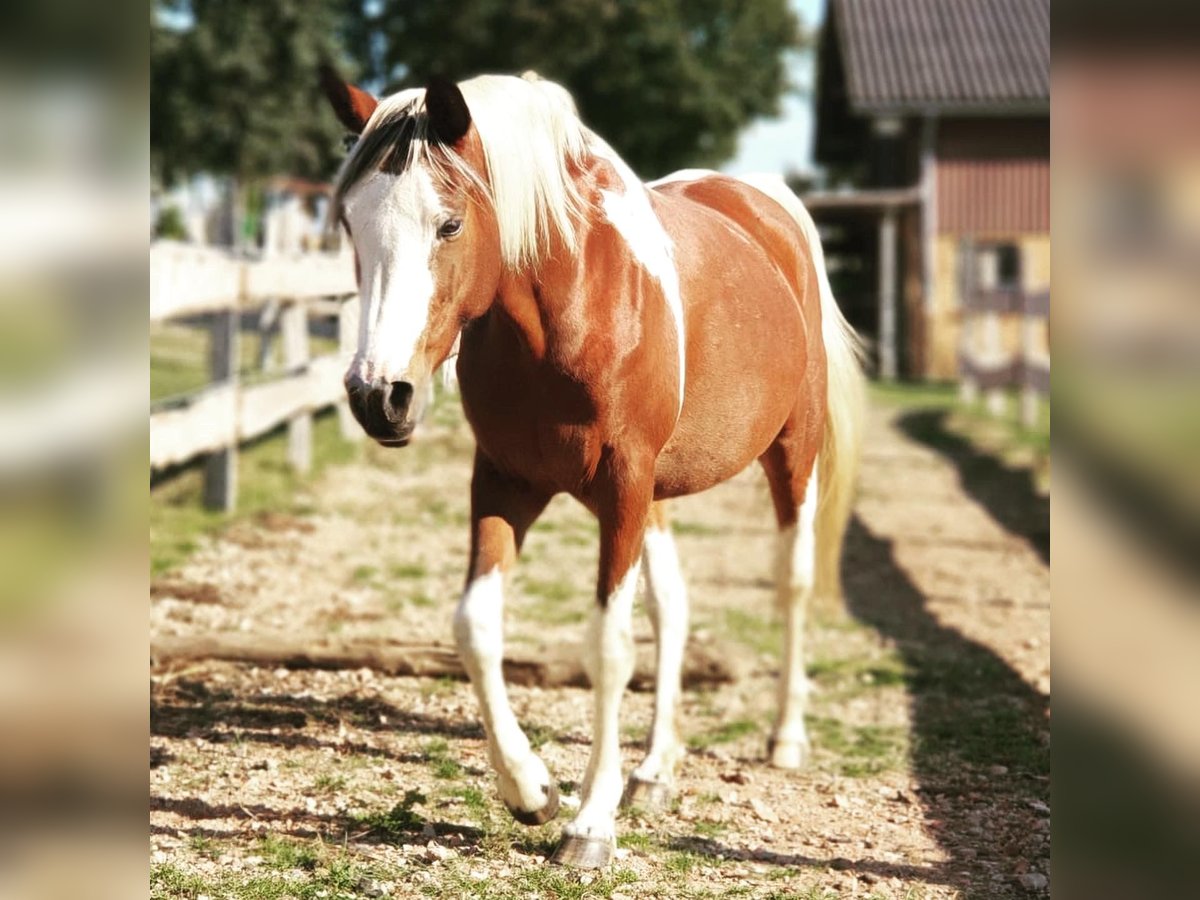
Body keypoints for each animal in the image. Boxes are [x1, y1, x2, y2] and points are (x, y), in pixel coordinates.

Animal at [319, 66, 864, 868]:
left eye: (449, 224)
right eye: (352, 225)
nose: (378, 396)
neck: (571, 304)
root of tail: (771, 208)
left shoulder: (623, 484)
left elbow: (608, 645)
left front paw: (589, 824)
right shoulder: (507, 481)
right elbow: (475, 626)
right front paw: (532, 789)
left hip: (791, 454)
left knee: (790, 580)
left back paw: (784, 737)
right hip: (655, 495)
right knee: (673, 604)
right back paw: (655, 769)